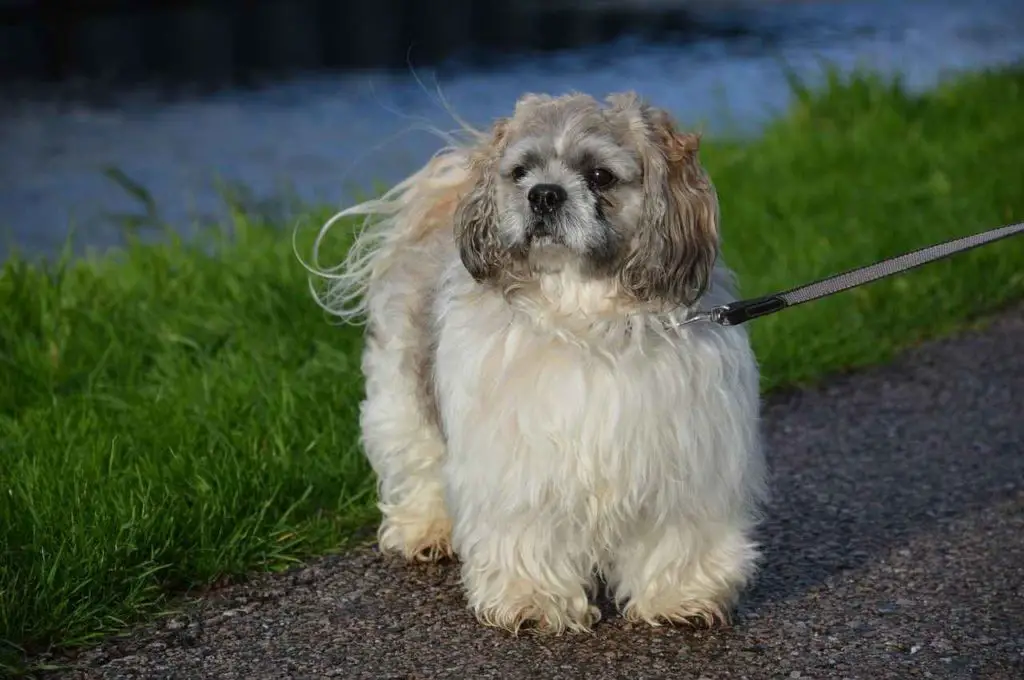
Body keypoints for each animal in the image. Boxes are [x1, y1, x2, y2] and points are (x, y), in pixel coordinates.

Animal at [303, 93, 770, 634]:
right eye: (521, 171)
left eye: (599, 176)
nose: (545, 194)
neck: (585, 315)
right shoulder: (520, 463)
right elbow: (526, 535)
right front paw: (532, 602)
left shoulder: (686, 458)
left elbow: (678, 536)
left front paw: (681, 598)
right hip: (401, 396)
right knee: (417, 460)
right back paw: (426, 529)